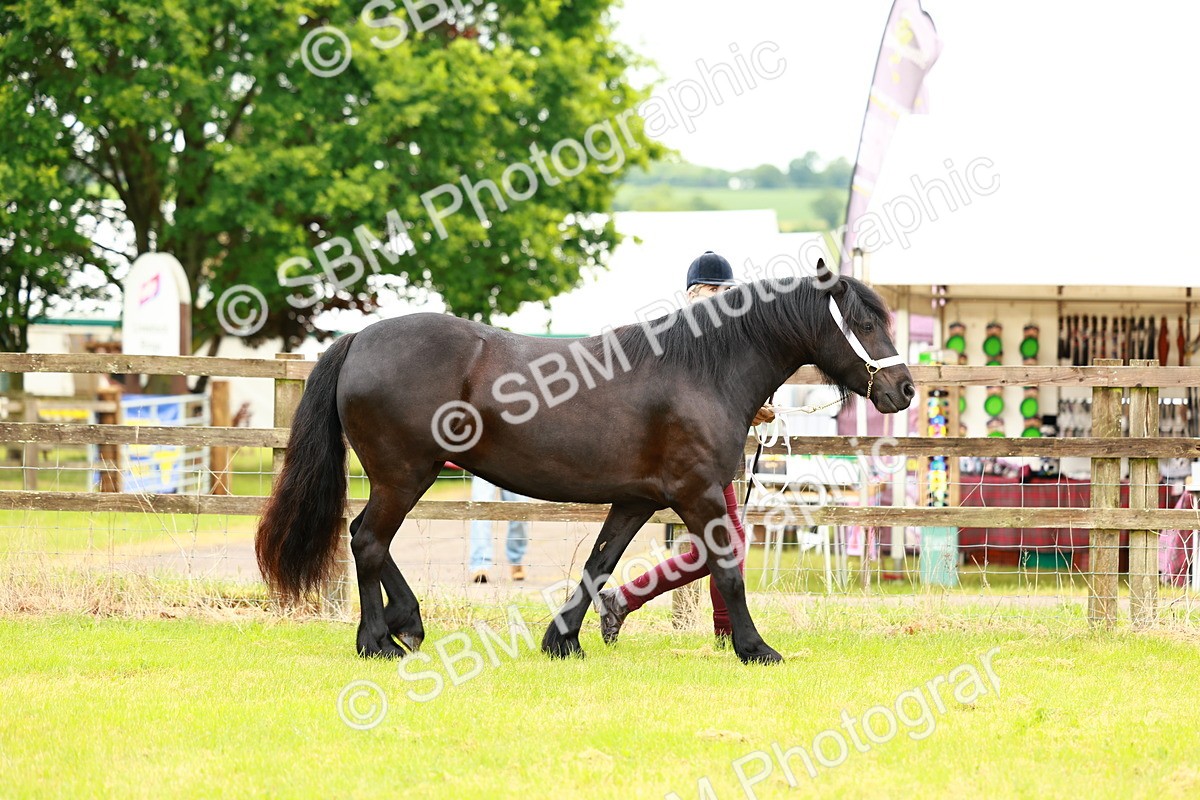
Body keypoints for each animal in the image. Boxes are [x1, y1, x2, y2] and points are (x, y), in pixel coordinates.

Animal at [255, 260, 914, 665]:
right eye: (862, 322)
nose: (904, 390)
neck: (700, 369)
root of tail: (358, 339)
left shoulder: (637, 498)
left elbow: (601, 564)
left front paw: (564, 639)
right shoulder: (698, 493)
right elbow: (726, 567)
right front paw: (756, 649)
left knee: (368, 539)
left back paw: (406, 624)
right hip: (405, 474)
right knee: (367, 539)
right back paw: (381, 639)